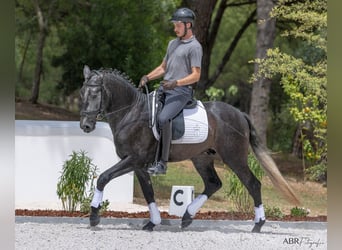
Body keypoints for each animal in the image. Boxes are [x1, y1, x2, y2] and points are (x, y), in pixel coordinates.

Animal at [80, 65, 300, 232]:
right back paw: (187, 217)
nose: (85, 126)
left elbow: (103, 177)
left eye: (95, 93)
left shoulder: (134, 159)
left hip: (234, 158)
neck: (131, 113)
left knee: (252, 184)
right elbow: (148, 191)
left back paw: (258, 224)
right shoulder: (138, 164)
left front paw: (94, 217)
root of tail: (240, 114)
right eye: (82, 92)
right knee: (213, 184)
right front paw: (153, 222)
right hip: (202, 158)